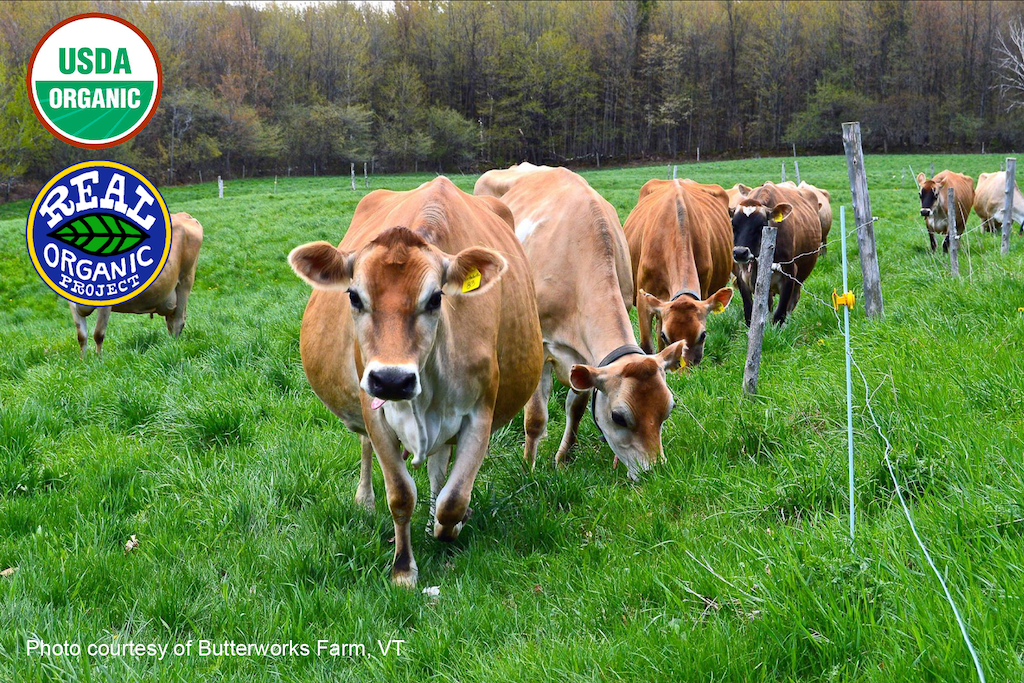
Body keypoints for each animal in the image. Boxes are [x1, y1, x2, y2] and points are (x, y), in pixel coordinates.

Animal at [69, 212, 203, 356]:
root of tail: (184, 215)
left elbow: (98, 334)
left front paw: (98, 359)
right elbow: (81, 336)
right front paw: (84, 359)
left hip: (185, 281)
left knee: (178, 320)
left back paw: (174, 346)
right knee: (171, 321)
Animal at [288, 177, 543, 587]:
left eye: (436, 297)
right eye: (354, 296)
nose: (392, 380)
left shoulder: (480, 413)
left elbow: (453, 499)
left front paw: (446, 527)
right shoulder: (375, 412)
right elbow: (401, 495)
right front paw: (403, 569)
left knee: (440, 471)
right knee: (366, 449)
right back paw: (364, 500)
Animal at [475, 163, 685, 480]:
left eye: (668, 409)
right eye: (619, 417)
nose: (654, 473)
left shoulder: (586, 359)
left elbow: (576, 406)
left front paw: (563, 458)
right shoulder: (541, 347)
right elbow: (535, 418)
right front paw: (528, 469)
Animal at [730, 182, 821, 327]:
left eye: (761, 226)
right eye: (733, 225)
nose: (740, 253)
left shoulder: (789, 273)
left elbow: (780, 314)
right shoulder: (741, 276)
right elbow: (749, 311)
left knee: (792, 300)